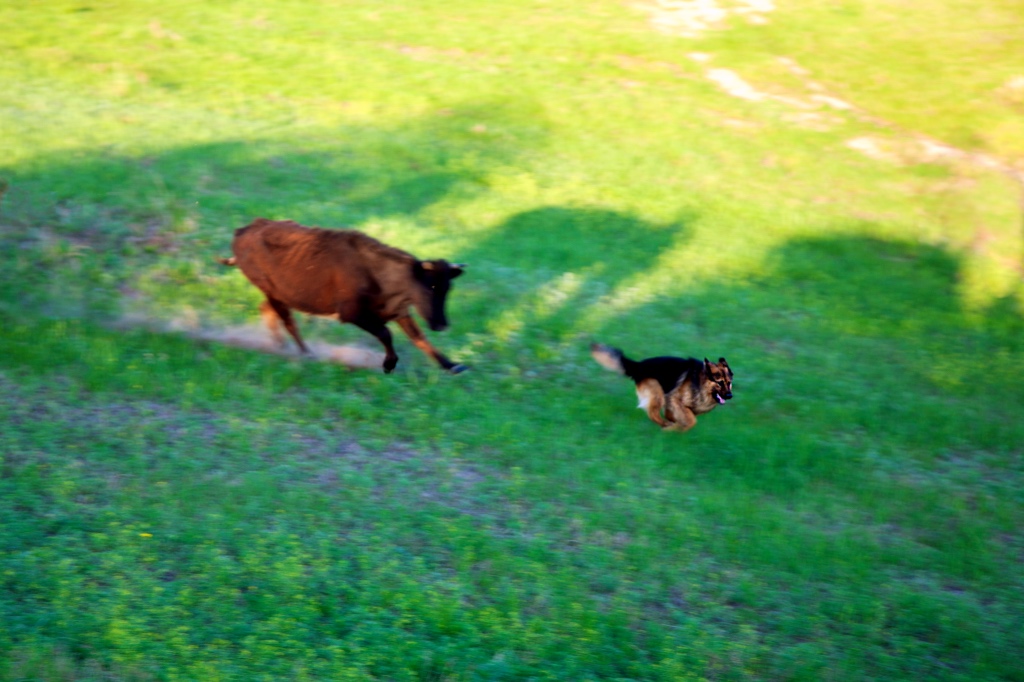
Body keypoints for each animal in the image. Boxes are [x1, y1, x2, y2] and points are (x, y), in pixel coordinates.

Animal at [222, 216, 468, 372]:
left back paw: (280, 346)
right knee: (288, 321)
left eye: (448, 287)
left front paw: (452, 365)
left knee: (268, 310)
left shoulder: (398, 311)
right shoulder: (352, 314)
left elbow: (419, 338)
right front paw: (388, 365)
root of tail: (243, 231)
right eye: (430, 286)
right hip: (273, 292)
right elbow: (386, 333)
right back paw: (306, 353)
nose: (441, 324)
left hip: (278, 296)